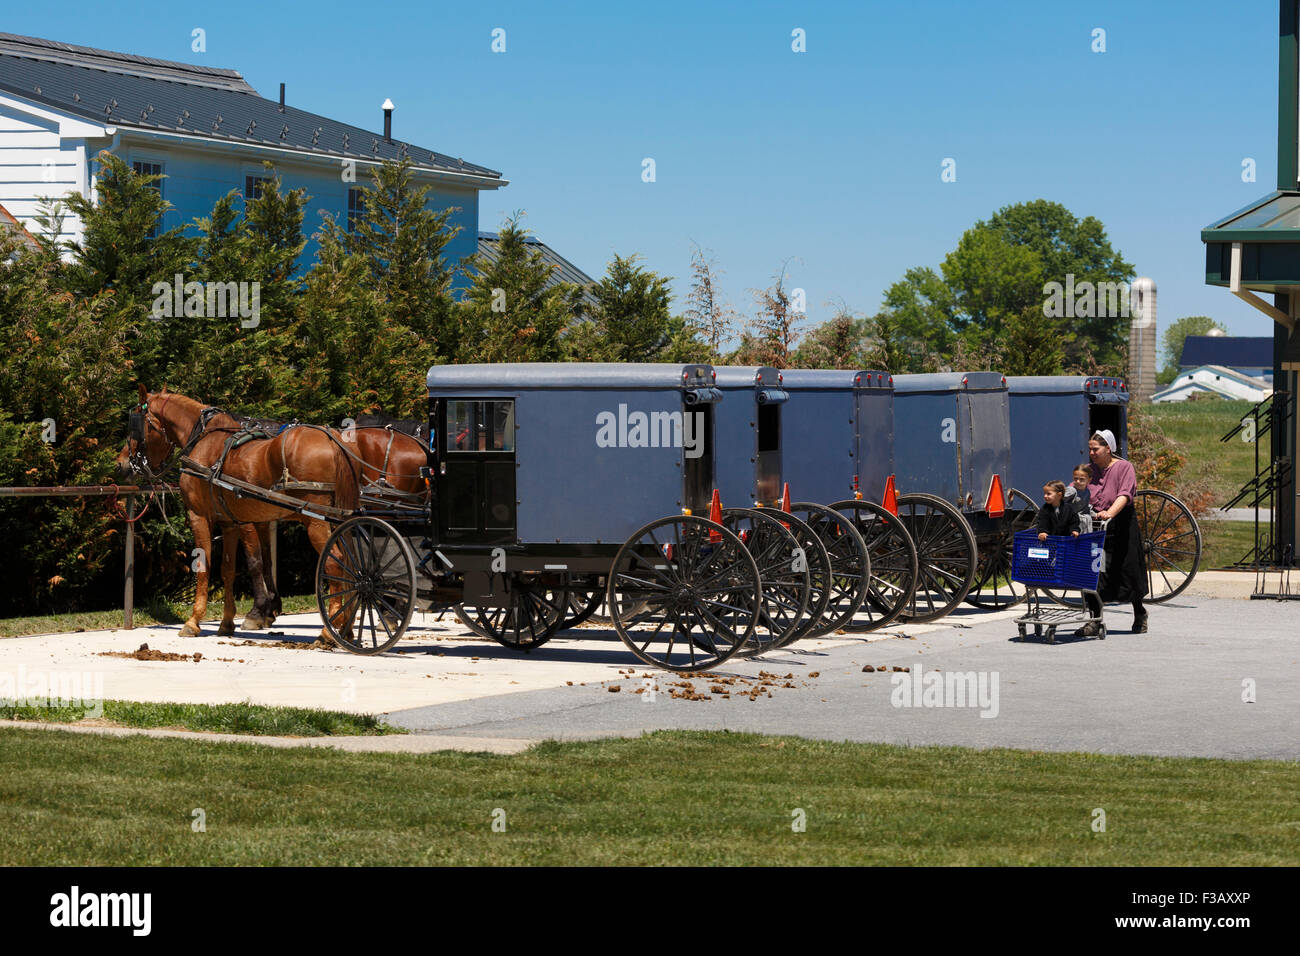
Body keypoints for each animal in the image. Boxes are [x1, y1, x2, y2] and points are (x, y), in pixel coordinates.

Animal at [115, 386, 360, 638]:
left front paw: (194, 620)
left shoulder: (200, 516)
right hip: (340, 519)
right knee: (352, 566)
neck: (204, 440)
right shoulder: (229, 522)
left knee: (334, 564)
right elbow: (228, 570)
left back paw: (329, 630)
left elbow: (205, 565)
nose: (121, 464)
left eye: (134, 426)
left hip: (315, 521)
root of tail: (333, 440)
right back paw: (347, 627)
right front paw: (226, 622)